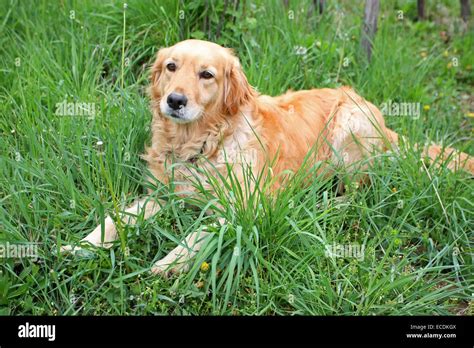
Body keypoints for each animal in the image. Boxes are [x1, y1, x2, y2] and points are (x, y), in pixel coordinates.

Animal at [61, 39, 472, 276]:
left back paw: (323, 205)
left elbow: (199, 232)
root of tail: (384, 121)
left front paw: (169, 261)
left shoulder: (244, 208)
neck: (202, 143)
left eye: (206, 74)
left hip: (349, 127)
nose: (174, 101)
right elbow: (115, 219)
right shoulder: (161, 194)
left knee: (357, 194)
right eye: (171, 67)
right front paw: (80, 246)